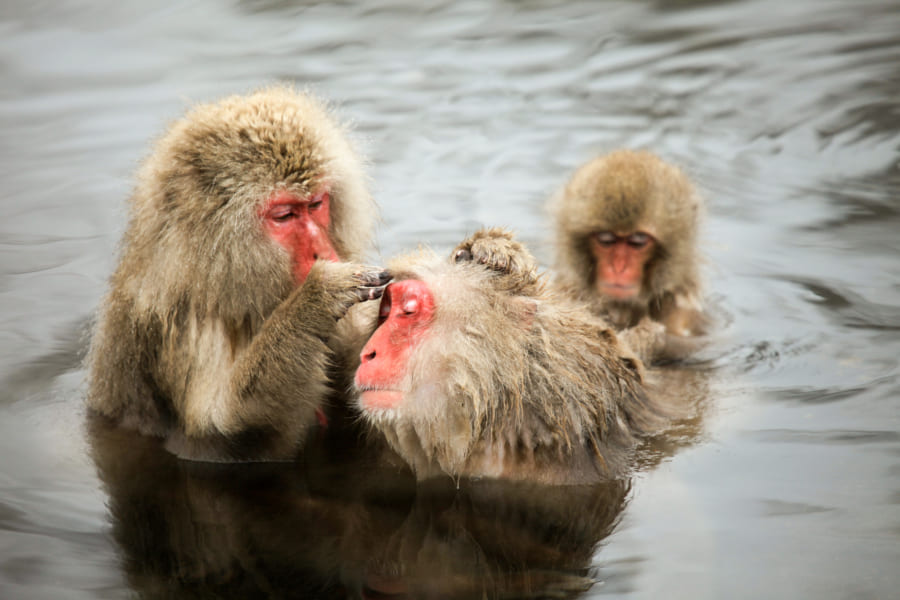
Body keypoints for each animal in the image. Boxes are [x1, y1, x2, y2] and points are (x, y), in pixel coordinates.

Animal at [85, 84, 390, 462]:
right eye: (285, 215)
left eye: (316, 204)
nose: (324, 251)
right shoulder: (186, 325)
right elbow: (219, 436)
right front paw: (315, 301)